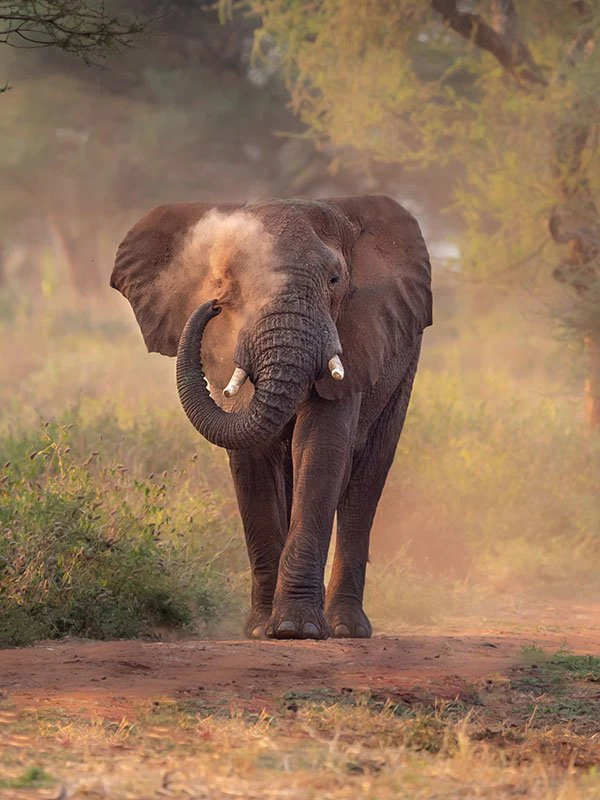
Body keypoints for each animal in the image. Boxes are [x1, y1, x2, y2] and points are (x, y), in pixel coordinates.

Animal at [110, 195, 432, 640]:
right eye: (228, 282)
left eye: (335, 280)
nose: (211, 305)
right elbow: (251, 457)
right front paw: (262, 630)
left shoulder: (356, 334)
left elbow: (320, 446)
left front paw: (298, 629)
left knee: (367, 478)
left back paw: (347, 628)